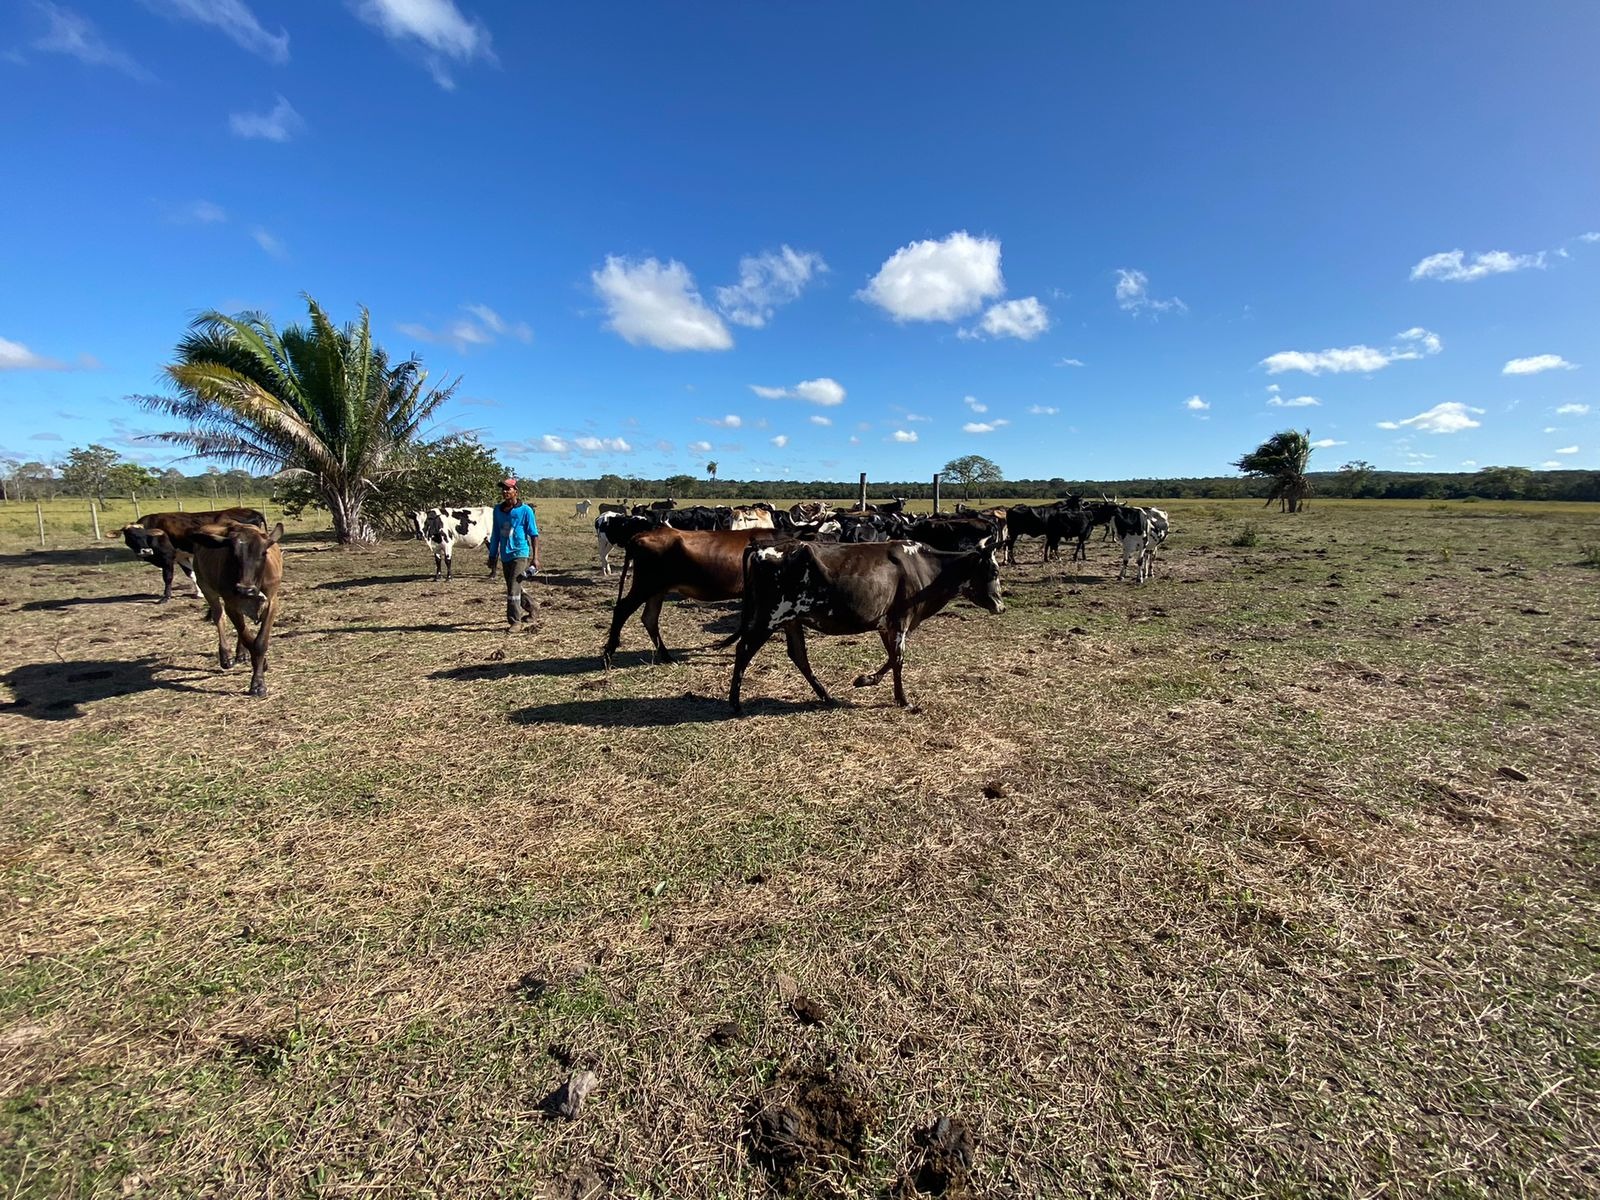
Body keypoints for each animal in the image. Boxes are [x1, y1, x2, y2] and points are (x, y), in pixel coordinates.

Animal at [113, 508, 268, 601]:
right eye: (130, 536)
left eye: (145, 534)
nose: (145, 551)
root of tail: (251, 510)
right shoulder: (180, 556)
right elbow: (191, 574)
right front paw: (199, 593)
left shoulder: (167, 557)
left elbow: (168, 577)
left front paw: (165, 597)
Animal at [189, 521, 284, 700]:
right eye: (233, 554)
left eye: (263, 553)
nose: (244, 590)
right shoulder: (231, 604)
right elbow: (247, 636)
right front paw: (258, 679)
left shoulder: (272, 601)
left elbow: (259, 642)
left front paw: (258, 680)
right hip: (206, 588)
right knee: (219, 617)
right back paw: (226, 656)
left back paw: (241, 654)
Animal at [601, 531, 780, 672]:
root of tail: (639, 536)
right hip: (646, 585)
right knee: (622, 609)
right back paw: (608, 655)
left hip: (657, 590)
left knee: (649, 618)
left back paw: (667, 657)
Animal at [732, 544, 1004, 720]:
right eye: (994, 571)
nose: (1001, 606)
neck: (925, 567)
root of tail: (761, 549)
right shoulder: (901, 620)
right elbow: (899, 659)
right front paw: (903, 700)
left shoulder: (886, 623)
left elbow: (891, 658)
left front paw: (866, 680)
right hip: (770, 617)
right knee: (744, 649)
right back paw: (735, 703)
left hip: (791, 620)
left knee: (799, 656)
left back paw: (826, 696)